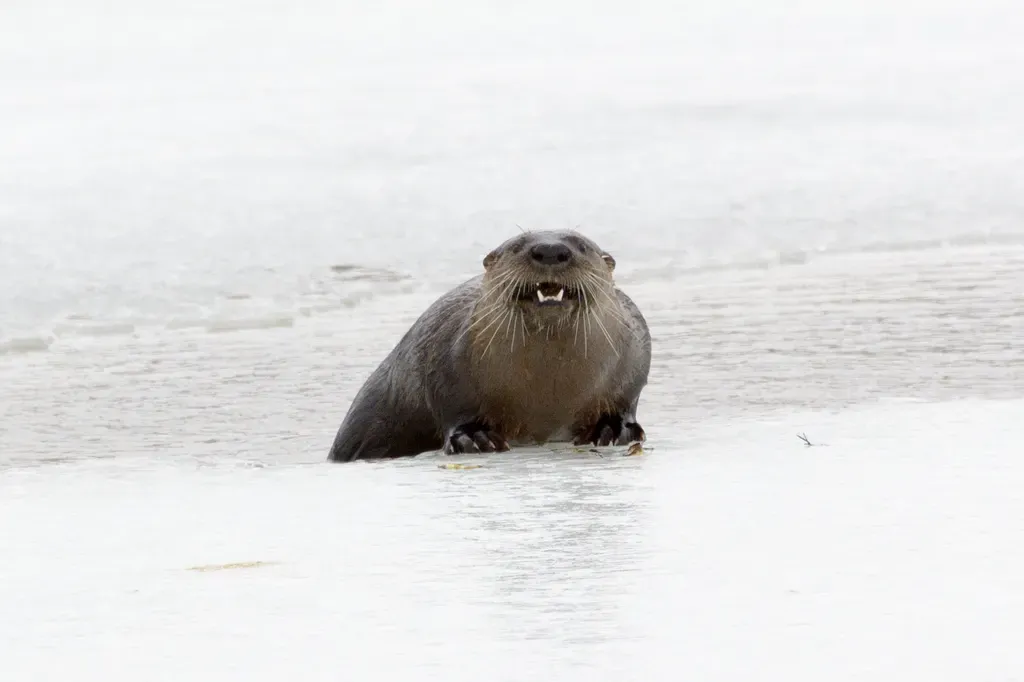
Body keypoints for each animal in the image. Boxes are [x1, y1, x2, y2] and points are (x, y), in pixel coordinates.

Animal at [327, 229, 651, 462]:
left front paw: (612, 428)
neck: (548, 399)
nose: (549, 250)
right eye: (517, 246)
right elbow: (454, 409)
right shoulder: (446, 362)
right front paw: (474, 438)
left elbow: (625, 401)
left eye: (581, 245)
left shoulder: (636, 357)